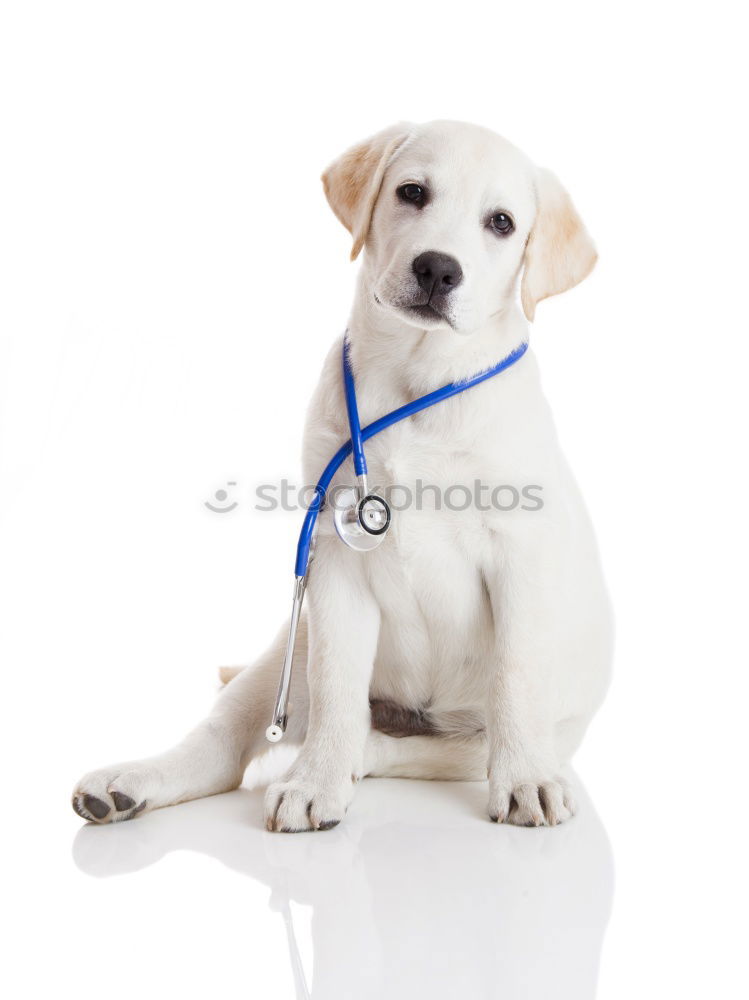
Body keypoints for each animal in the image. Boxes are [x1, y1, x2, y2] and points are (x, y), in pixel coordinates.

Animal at [70, 121, 612, 832]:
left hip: (511, 734)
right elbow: (336, 682)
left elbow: (515, 676)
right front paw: (315, 782)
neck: (418, 380)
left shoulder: (520, 554)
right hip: (284, 653)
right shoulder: (333, 561)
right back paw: (132, 781)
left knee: (416, 747)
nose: (438, 268)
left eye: (502, 223)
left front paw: (525, 780)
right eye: (412, 192)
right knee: (227, 744)